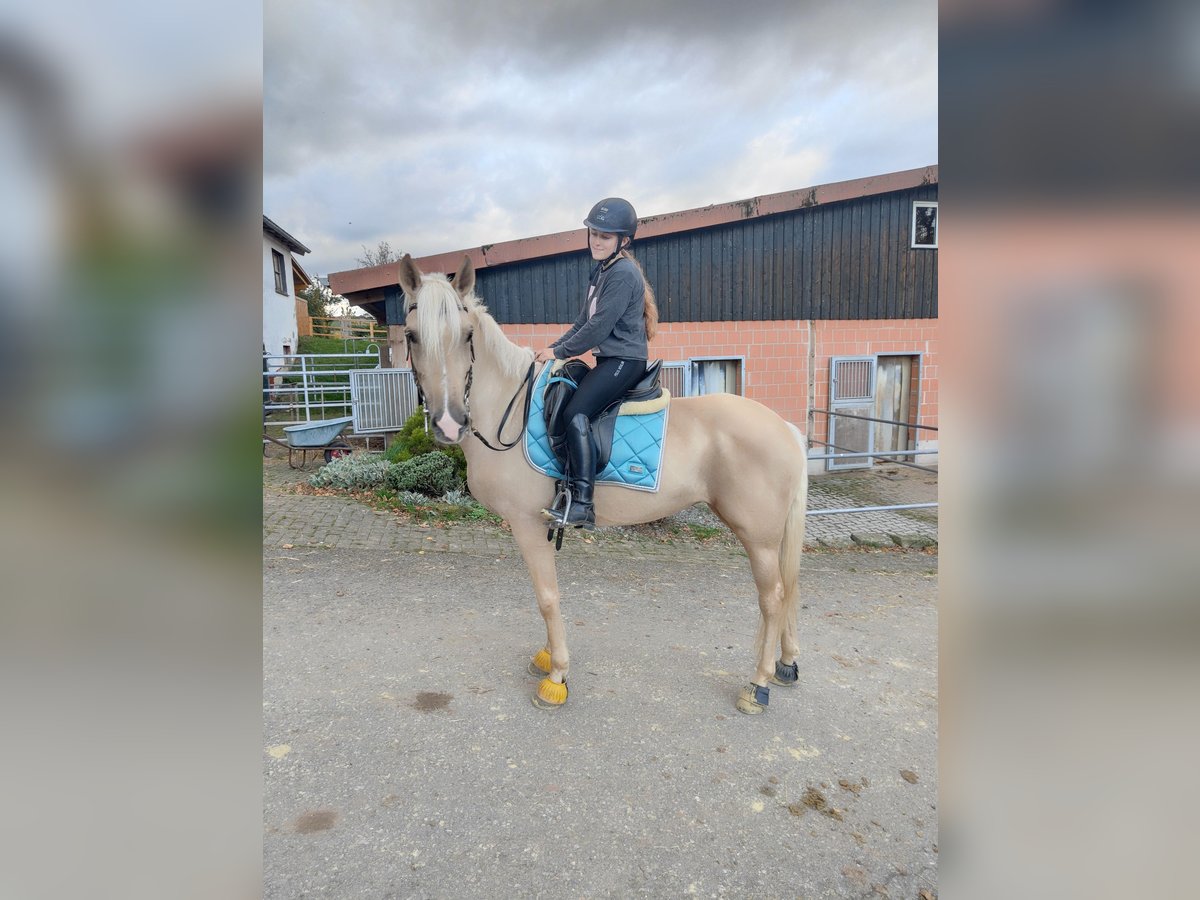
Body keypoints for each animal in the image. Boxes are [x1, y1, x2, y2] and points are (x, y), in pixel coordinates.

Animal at [400, 255, 806, 720]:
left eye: (467, 335)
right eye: (412, 336)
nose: (449, 424)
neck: (509, 408)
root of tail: (786, 428)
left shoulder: (526, 524)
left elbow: (547, 597)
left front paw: (557, 677)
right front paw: (547, 658)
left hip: (758, 537)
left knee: (773, 598)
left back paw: (757, 685)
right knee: (787, 592)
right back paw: (785, 664)